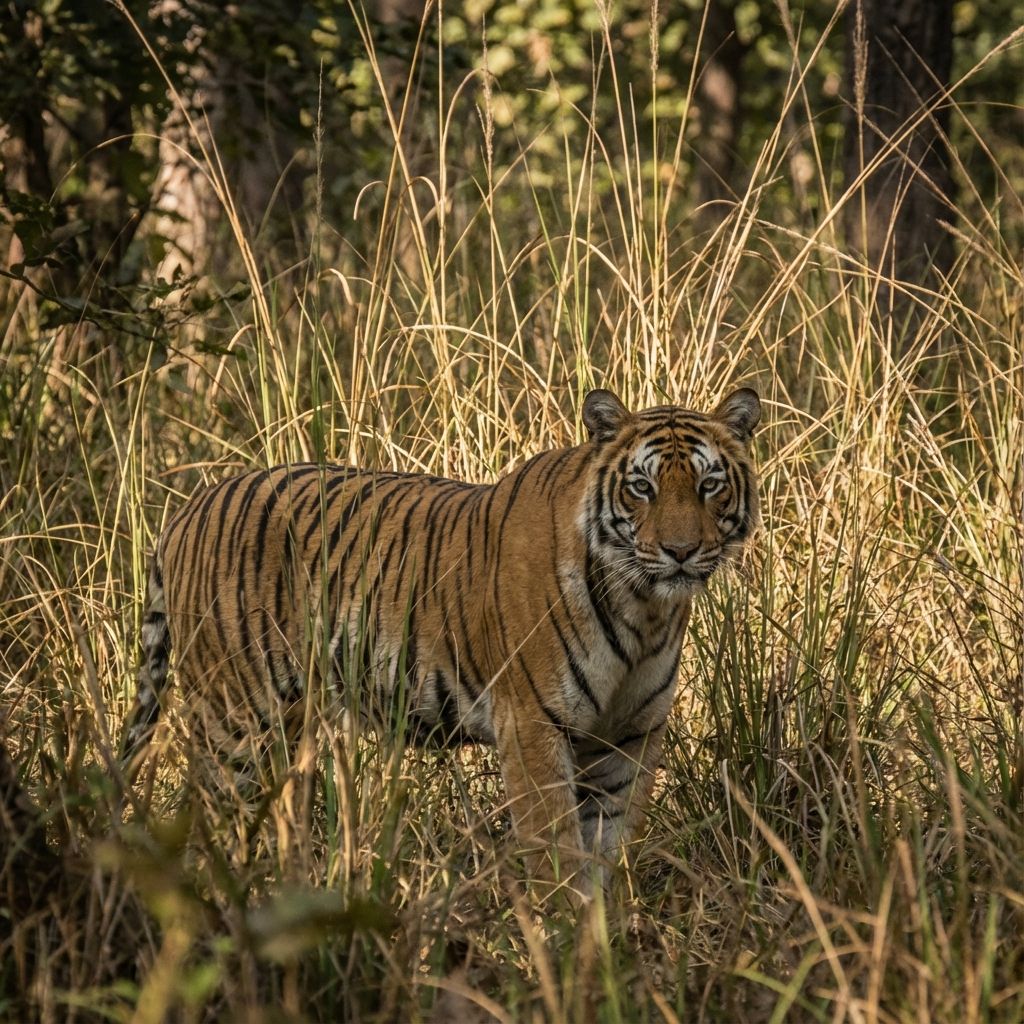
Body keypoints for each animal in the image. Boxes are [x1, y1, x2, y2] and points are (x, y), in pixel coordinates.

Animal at [120, 387, 761, 892]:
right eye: (641, 488)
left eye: (709, 485)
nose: (680, 551)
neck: (644, 607)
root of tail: (187, 508)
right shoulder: (533, 726)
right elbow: (555, 854)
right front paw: (561, 950)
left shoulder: (629, 736)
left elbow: (610, 855)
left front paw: (604, 953)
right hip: (234, 721)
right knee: (205, 824)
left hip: (293, 729)